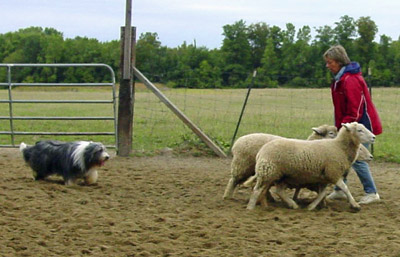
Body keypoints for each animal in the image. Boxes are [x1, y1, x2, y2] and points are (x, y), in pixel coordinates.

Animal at [247, 121, 376, 210]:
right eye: (360, 130)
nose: (374, 137)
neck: (339, 147)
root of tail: (261, 151)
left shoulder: (324, 177)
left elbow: (322, 193)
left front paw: (312, 206)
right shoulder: (333, 173)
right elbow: (345, 188)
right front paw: (355, 205)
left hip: (281, 175)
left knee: (279, 191)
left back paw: (292, 204)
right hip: (268, 172)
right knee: (257, 190)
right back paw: (251, 207)